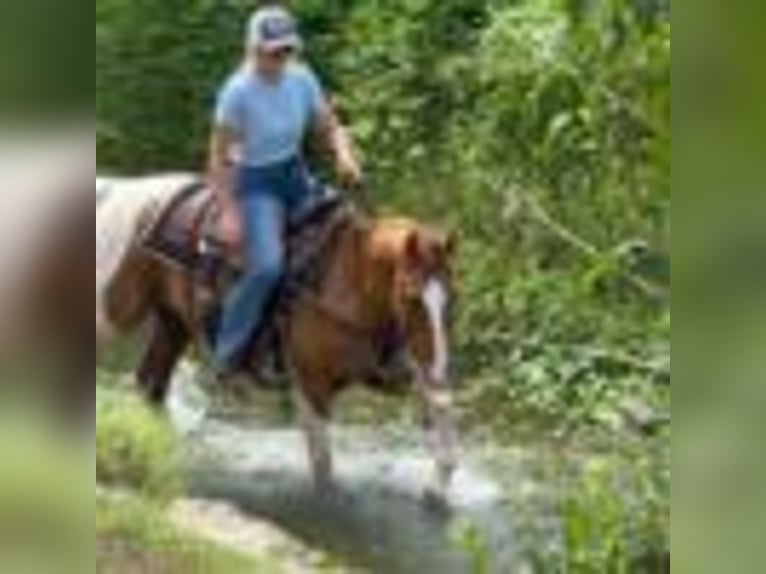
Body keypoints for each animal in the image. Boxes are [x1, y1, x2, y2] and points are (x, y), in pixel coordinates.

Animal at [97, 175, 459, 494]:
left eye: (452, 297)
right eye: (411, 297)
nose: (441, 366)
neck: (345, 281)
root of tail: (122, 190)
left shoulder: (402, 370)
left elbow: (440, 408)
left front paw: (436, 491)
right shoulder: (311, 383)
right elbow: (323, 463)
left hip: (173, 323)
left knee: (151, 386)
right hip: (116, 311)